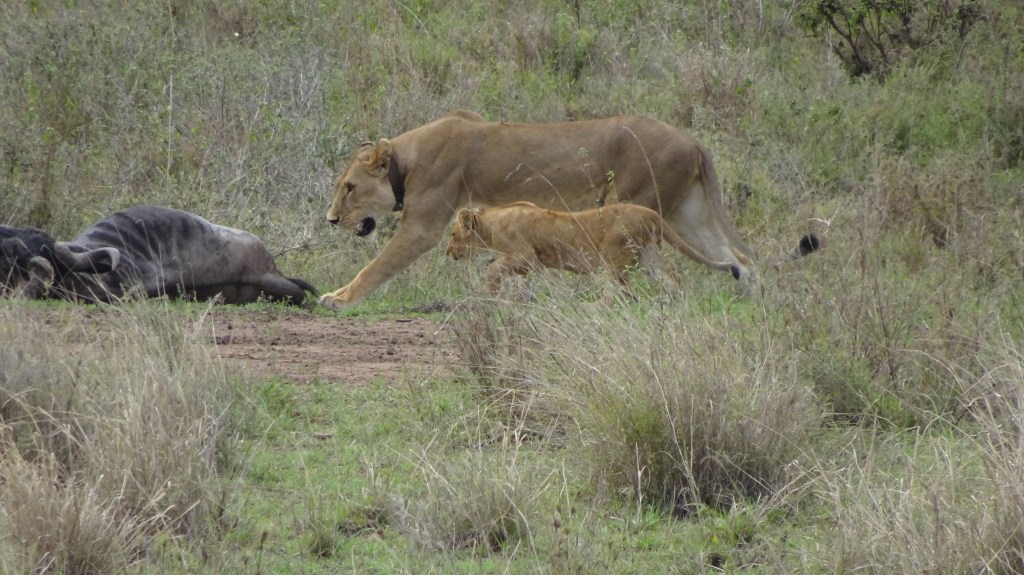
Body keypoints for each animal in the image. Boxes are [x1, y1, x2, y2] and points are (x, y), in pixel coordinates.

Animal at [445, 202, 740, 294]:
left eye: (453, 234)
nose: (448, 253)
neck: (491, 223)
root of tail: (651, 213)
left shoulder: (525, 256)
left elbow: (493, 269)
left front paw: (491, 294)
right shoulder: (530, 265)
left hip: (613, 255)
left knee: (619, 292)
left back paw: (594, 307)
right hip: (648, 253)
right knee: (672, 277)